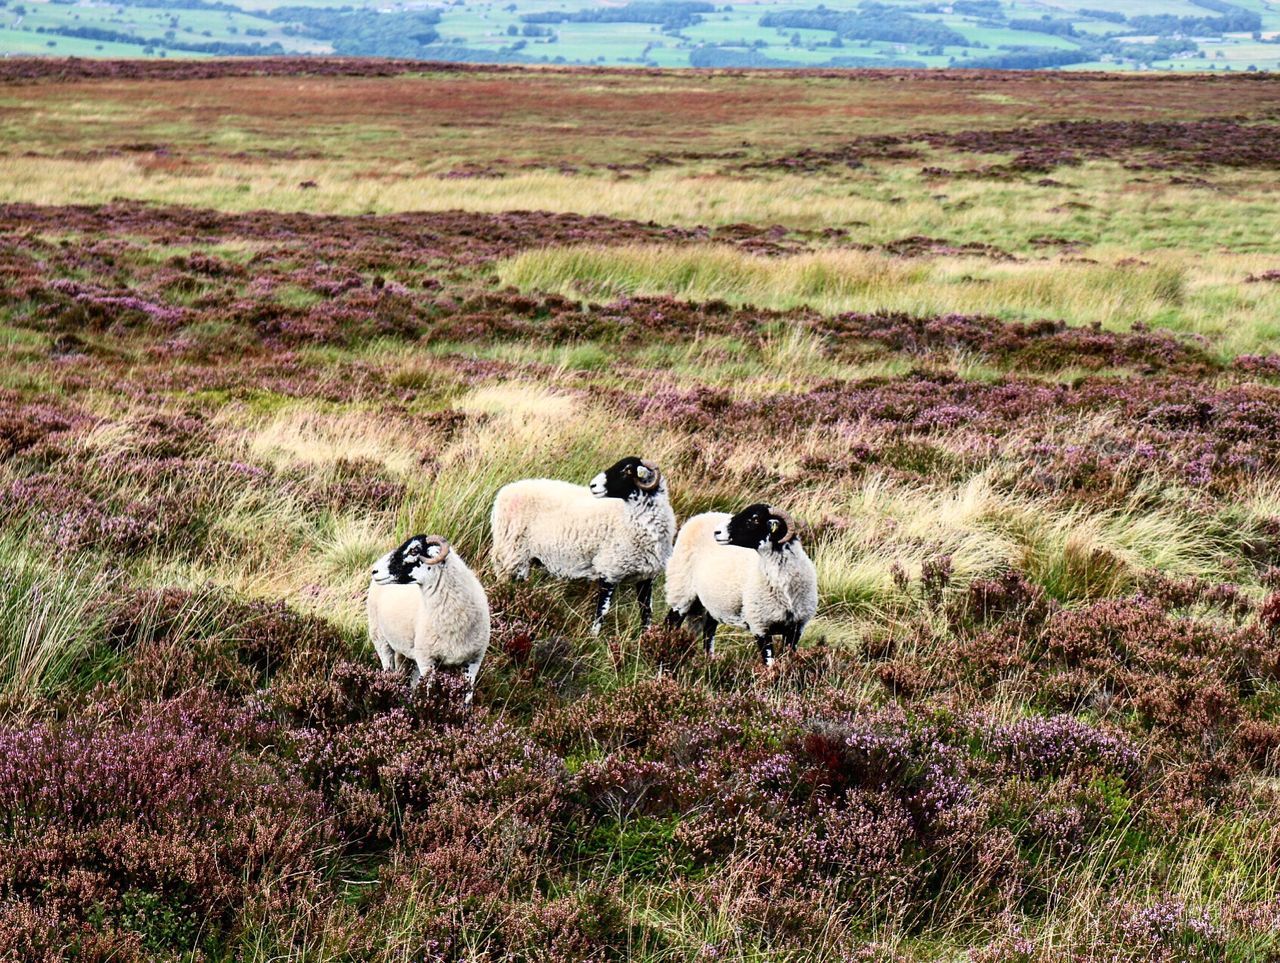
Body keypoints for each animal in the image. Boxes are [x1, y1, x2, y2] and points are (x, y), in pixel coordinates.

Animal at [373, 530, 491, 701]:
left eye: (414, 550)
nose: (374, 571)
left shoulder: (474, 660)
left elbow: (467, 698)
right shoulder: (427, 660)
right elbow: (430, 694)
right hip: (379, 638)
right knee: (388, 667)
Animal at [486, 455, 675, 635]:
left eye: (627, 470)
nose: (593, 485)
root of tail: (504, 492)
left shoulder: (646, 577)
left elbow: (647, 612)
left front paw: (645, 638)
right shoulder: (610, 569)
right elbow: (602, 610)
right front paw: (594, 636)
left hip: (522, 555)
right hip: (511, 550)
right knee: (503, 580)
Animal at [665, 499, 814, 665]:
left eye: (754, 519)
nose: (717, 533)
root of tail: (699, 516)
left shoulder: (796, 628)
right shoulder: (760, 625)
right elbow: (769, 663)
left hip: (711, 601)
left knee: (708, 631)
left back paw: (709, 660)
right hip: (681, 587)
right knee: (671, 621)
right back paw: (666, 647)